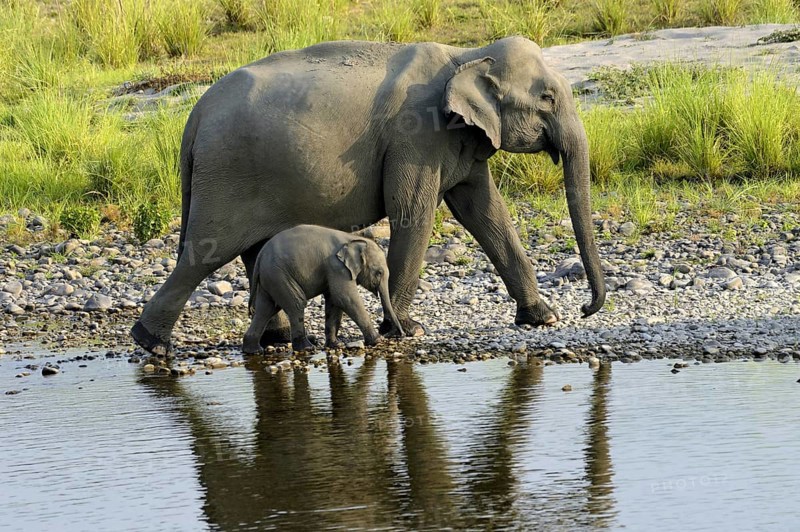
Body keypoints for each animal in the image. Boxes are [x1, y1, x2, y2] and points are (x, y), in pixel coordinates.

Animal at [242, 224, 403, 353]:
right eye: (379, 273)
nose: (400, 335)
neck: (353, 239)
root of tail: (260, 256)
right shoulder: (336, 267)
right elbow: (345, 298)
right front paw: (378, 341)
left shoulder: (333, 270)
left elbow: (334, 301)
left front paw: (335, 345)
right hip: (278, 275)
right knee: (296, 303)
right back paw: (307, 348)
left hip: (270, 278)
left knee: (266, 309)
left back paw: (253, 350)